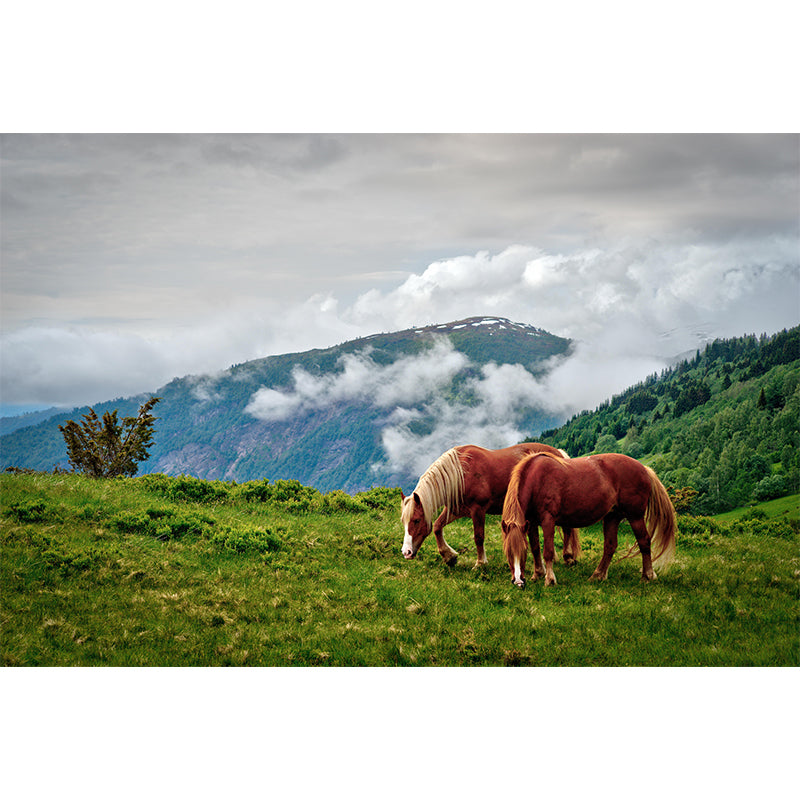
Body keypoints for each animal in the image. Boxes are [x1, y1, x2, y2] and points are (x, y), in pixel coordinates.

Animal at [400, 443, 580, 569]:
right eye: (404, 521)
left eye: (416, 520)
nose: (406, 552)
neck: (460, 473)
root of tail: (559, 453)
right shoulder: (457, 510)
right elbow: (437, 527)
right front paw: (449, 557)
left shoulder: (478, 510)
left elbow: (479, 537)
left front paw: (480, 563)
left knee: (567, 529)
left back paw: (568, 557)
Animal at [501, 452, 676, 588]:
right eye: (508, 554)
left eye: (521, 554)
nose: (518, 581)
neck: (537, 478)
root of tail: (644, 469)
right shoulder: (530, 523)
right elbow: (536, 548)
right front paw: (537, 574)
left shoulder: (548, 521)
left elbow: (548, 551)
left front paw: (550, 579)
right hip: (612, 517)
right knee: (610, 546)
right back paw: (598, 575)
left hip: (635, 517)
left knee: (644, 541)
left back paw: (647, 576)